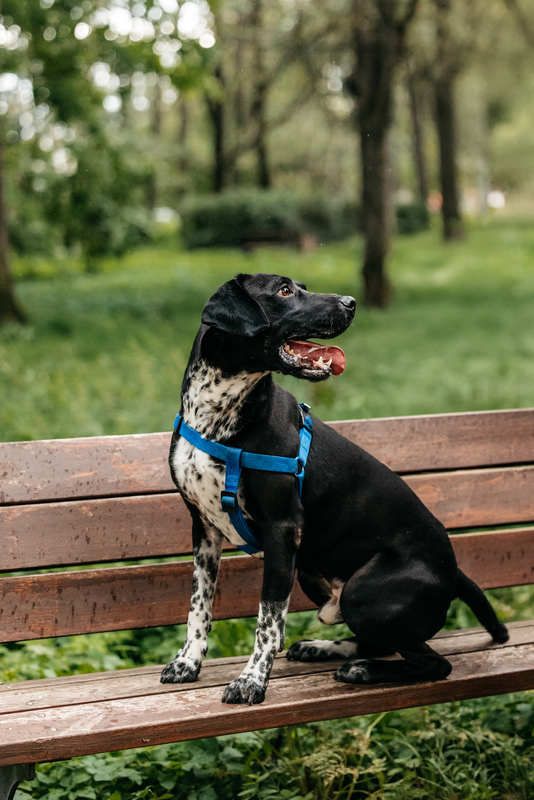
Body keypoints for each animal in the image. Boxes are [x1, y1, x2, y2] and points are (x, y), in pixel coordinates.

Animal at [160, 276, 510, 708]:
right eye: (284, 291)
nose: (351, 302)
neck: (218, 414)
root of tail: (454, 571)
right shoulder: (204, 529)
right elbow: (199, 605)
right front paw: (188, 662)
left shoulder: (282, 529)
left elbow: (268, 621)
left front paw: (252, 680)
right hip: (315, 579)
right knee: (382, 644)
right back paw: (324, 648)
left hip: (363, 594)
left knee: (432, 662)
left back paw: (362, 670)